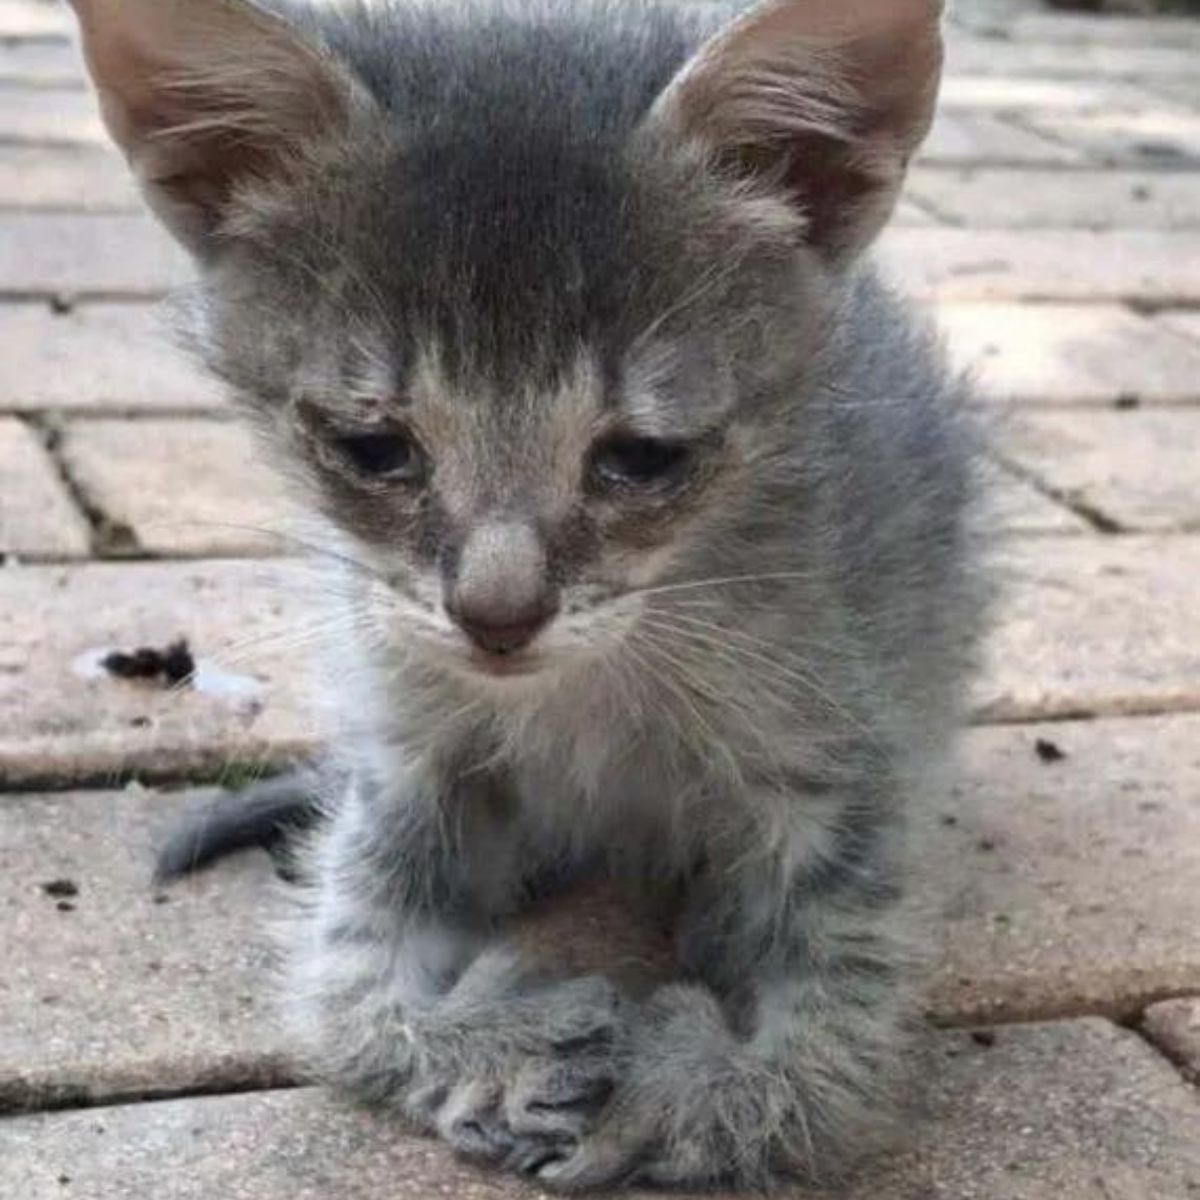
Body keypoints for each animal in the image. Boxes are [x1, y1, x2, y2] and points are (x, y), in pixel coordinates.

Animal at [68, 0, 984, 1185]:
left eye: (641, 457)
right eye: (374, 448)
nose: (497, 616)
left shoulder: (841, 746)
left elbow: (832, 1039)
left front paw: (690, 1091)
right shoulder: (409, 744)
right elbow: (344, 992)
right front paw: (482, 1043)